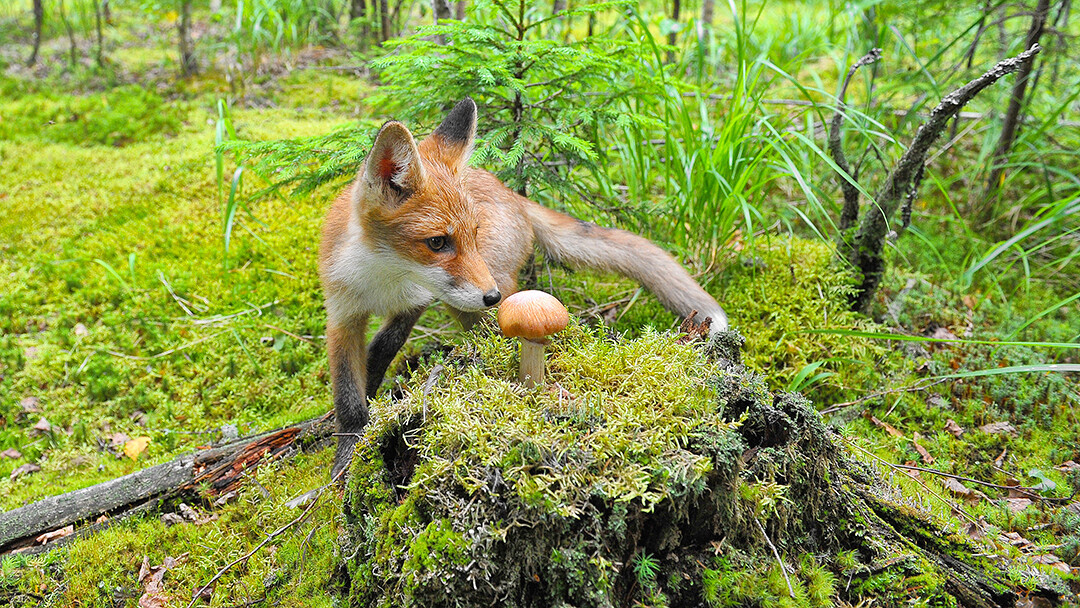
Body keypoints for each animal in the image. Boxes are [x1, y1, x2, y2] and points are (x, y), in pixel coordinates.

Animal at [317, 97, 725, 477]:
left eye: (473, 233)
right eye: (437, 243)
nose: (492, 296)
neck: (384, 279)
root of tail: (512, 191)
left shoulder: (417, 300)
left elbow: (383, 346)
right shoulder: (342, 313)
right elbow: (348, 397)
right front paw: (346, 453)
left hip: (470, 302)